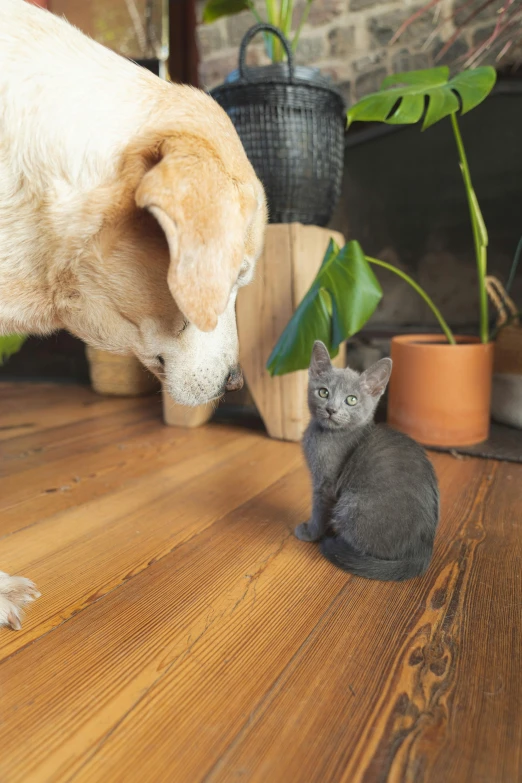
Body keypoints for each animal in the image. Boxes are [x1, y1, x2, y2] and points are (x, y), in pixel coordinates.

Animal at [294, 340, 436, 580]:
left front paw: (310, 533)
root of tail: (422, 553)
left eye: (351, 400)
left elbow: (319, 510)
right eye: (323, 392)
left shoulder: (326, 484)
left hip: (350, 505)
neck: (326, 434)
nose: (331, 409)